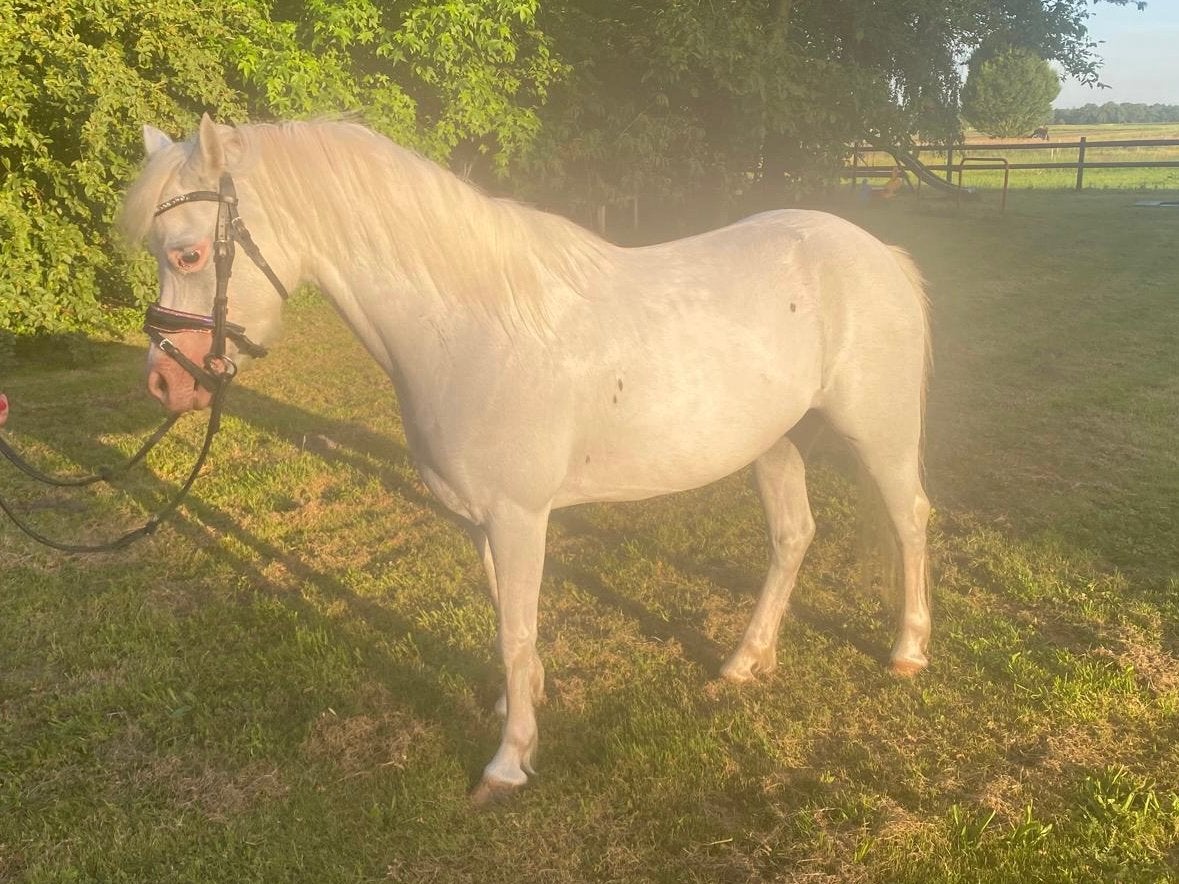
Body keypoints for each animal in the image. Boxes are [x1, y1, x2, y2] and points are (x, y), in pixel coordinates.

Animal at [123, 115, 932, 803]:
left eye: (189, 251)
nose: (163, 382)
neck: (472, 326)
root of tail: (875, 253)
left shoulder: (518, 516)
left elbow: (516, 629)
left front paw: (507, 763)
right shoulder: (481, 518)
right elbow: (503, 621)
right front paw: (525, 705)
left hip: (883, 436)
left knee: (910, 522)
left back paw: (907, 651)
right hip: (776, 444)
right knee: (792, 538)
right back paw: (743, 663)